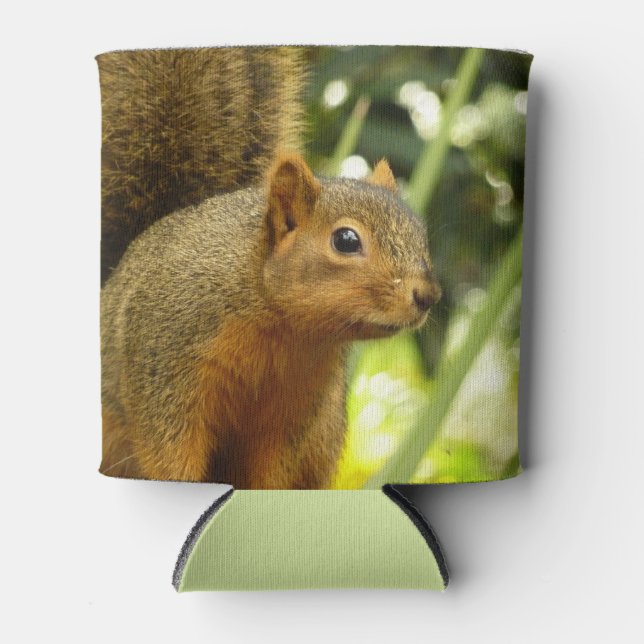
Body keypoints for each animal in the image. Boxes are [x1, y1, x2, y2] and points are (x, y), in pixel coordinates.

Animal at [98, 47, 441, 488]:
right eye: (346, 241)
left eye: (420, 233)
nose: (428, 295)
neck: (280, 326)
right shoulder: (166, 365)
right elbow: (168, 453)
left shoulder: (294, 412)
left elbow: (270, 471)